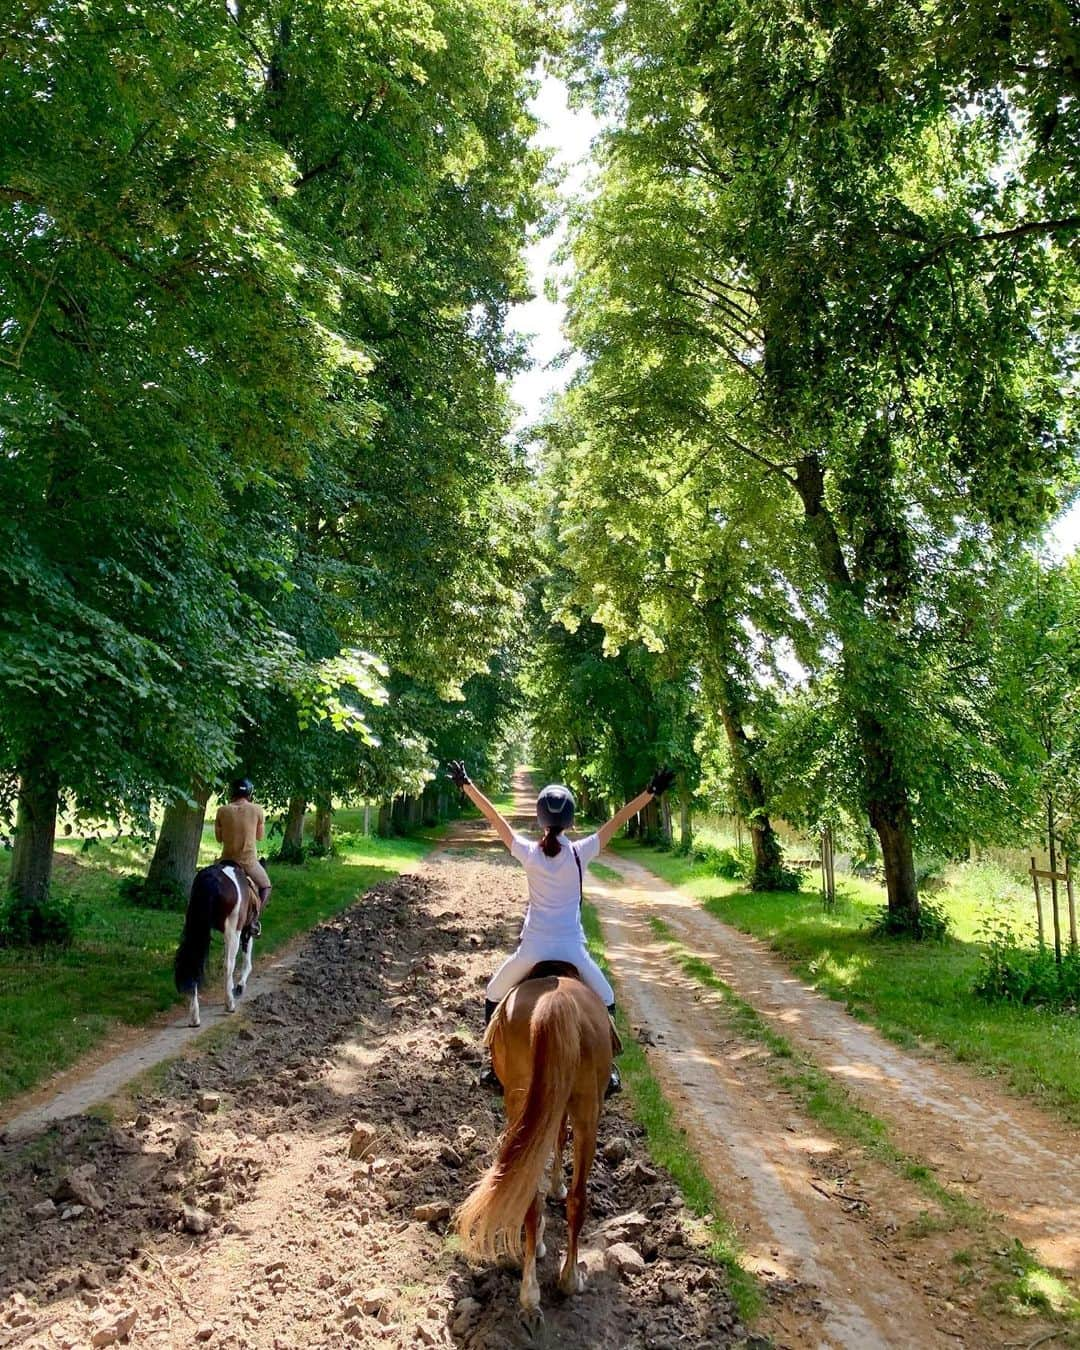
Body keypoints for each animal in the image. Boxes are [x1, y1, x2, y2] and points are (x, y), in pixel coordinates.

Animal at [175, 864, 264, 1020]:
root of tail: (212, 878)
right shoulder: (245, 930)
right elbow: (246, 960)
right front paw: (240, 987)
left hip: (195, 925)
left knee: (194, 961)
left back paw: (195, 1016)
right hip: (233, 930)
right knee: (228, 965)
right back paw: (229, 1004)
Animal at [450, 966, 612, 1312]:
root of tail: (556, 1002)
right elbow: (559, 1140)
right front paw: (556, 1186)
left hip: (528, 1105)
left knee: (535, 1191)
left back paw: (532, 1286)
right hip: (584, 1111)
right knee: (573, 1197)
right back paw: (567, 1279)